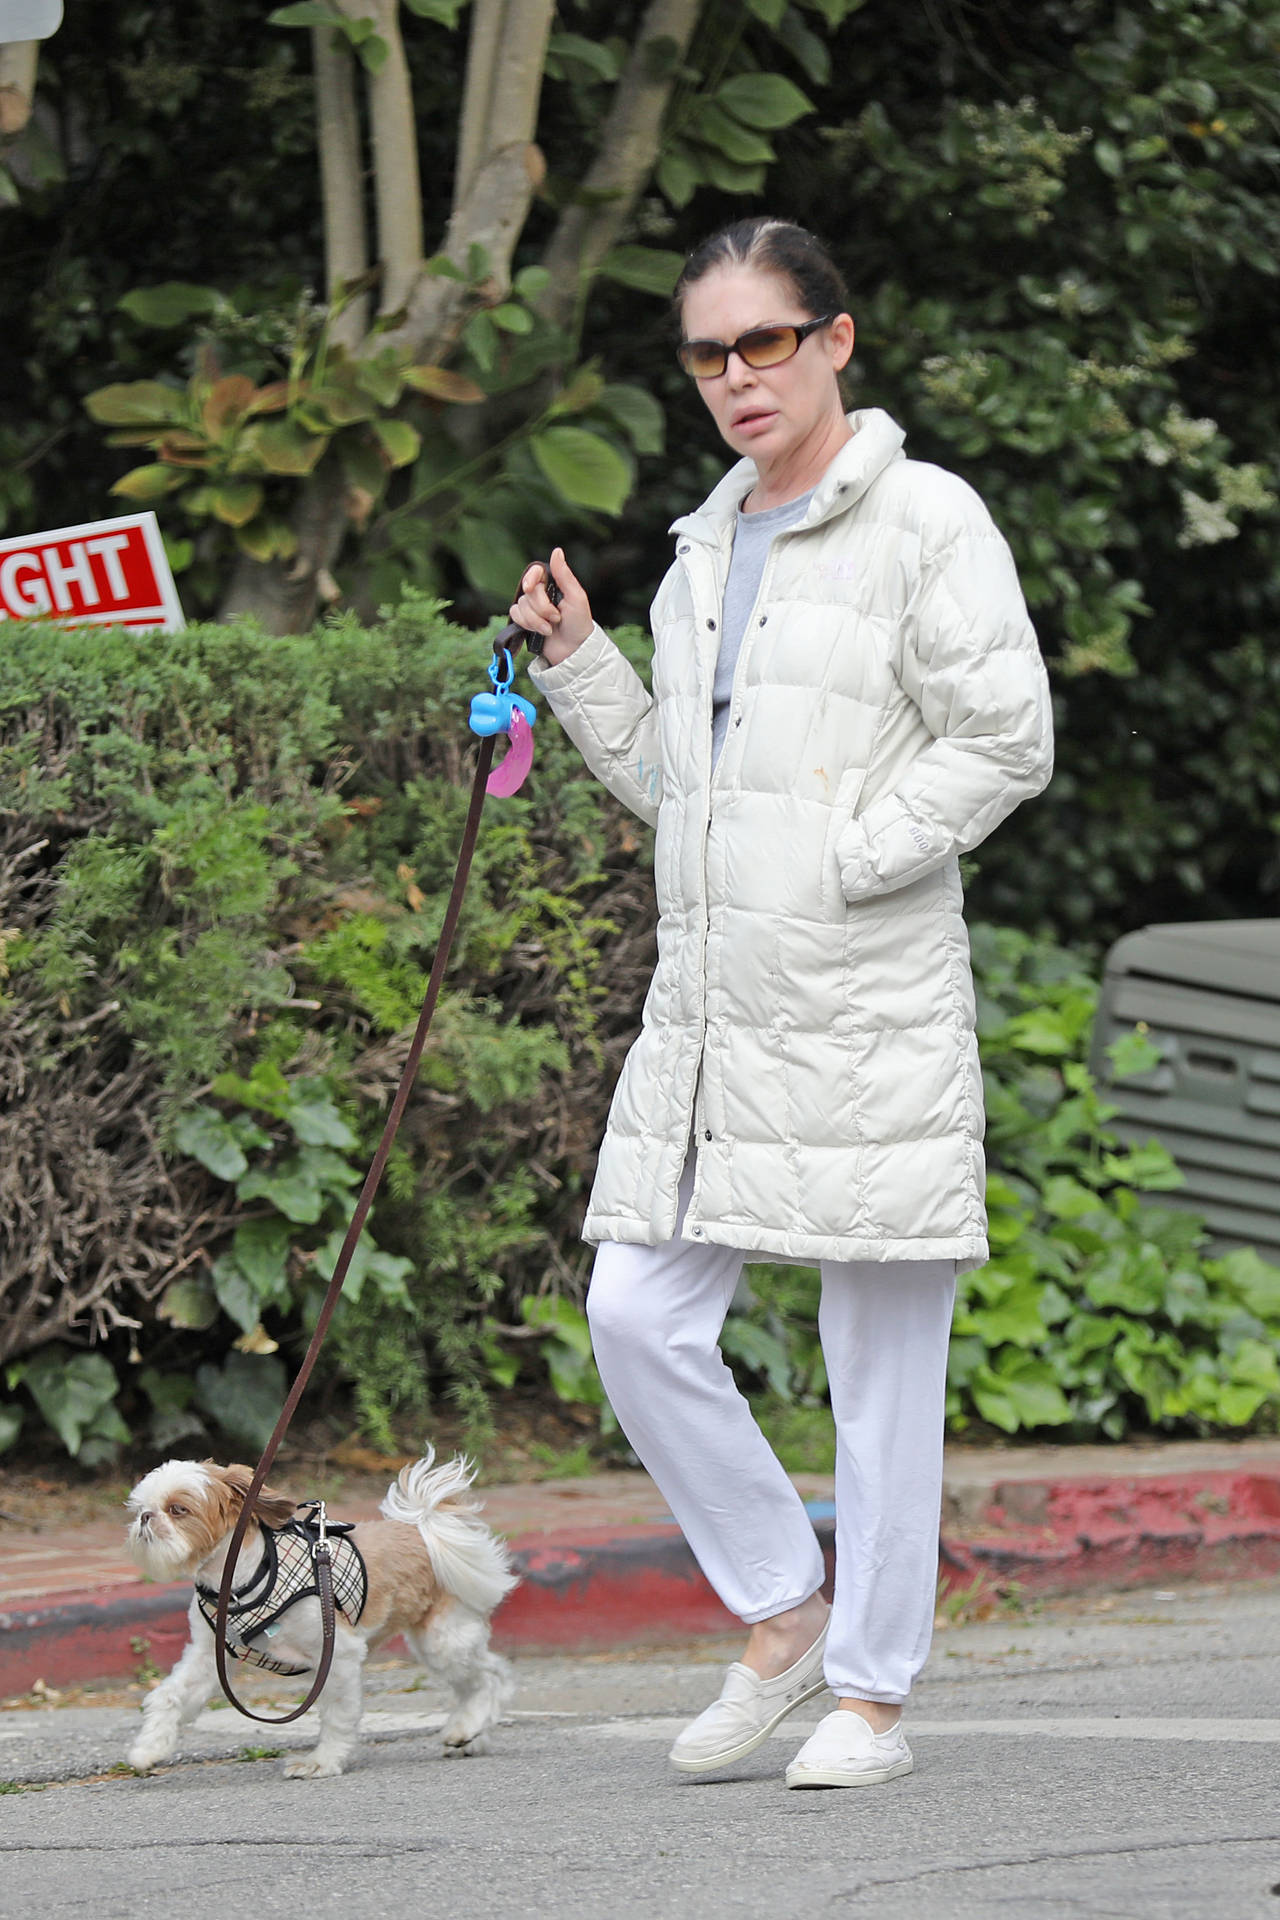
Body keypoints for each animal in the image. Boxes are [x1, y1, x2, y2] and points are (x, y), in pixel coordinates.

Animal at [123, 1443, 514, 1774]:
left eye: (178, 1509)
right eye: (140, 1507)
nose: (145, 1518)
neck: (243, 1578)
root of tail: (425, 1530)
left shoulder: (337, 1654)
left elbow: (337, 1714)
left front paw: (322, 1762)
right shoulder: (208, 1656)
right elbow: (170, 1696)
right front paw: (149, 1747)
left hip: (443, 1638)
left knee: (490, 1676)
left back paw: (470, 1724)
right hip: (434, 1644)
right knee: (475, 1680)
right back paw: (469, 1733)